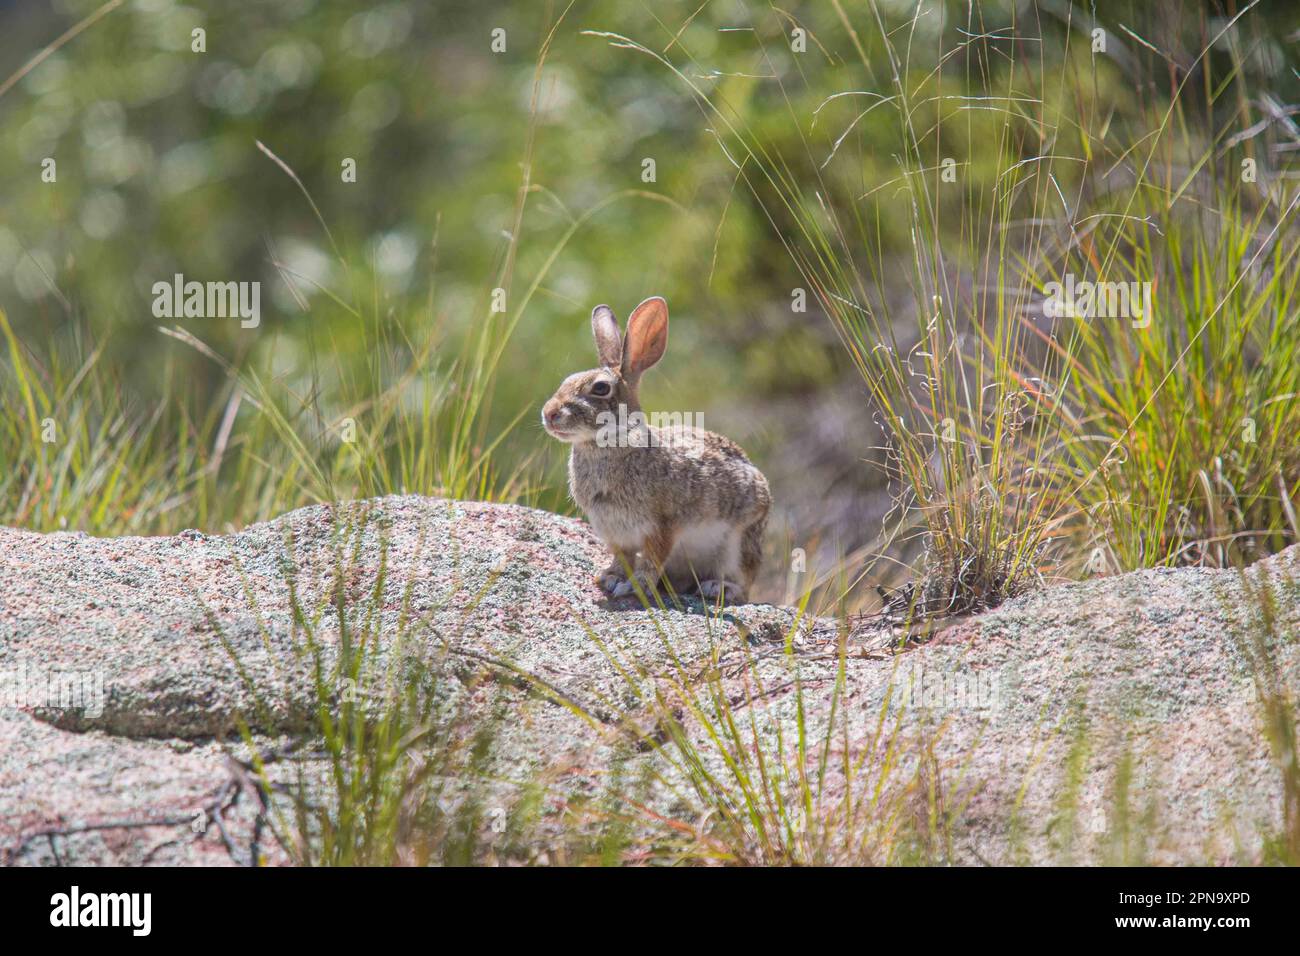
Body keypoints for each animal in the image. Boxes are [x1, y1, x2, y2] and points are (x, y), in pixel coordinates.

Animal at [541, 296, 770, 604]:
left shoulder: (662, 526)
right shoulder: (616, 532)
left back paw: (719, 588)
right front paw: (610, 578)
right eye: (567, 380)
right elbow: (622, 557)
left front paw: (633, 587)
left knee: (744, 584)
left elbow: (651, 559)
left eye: (600, 388)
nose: (549, 413)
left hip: (740, 542)